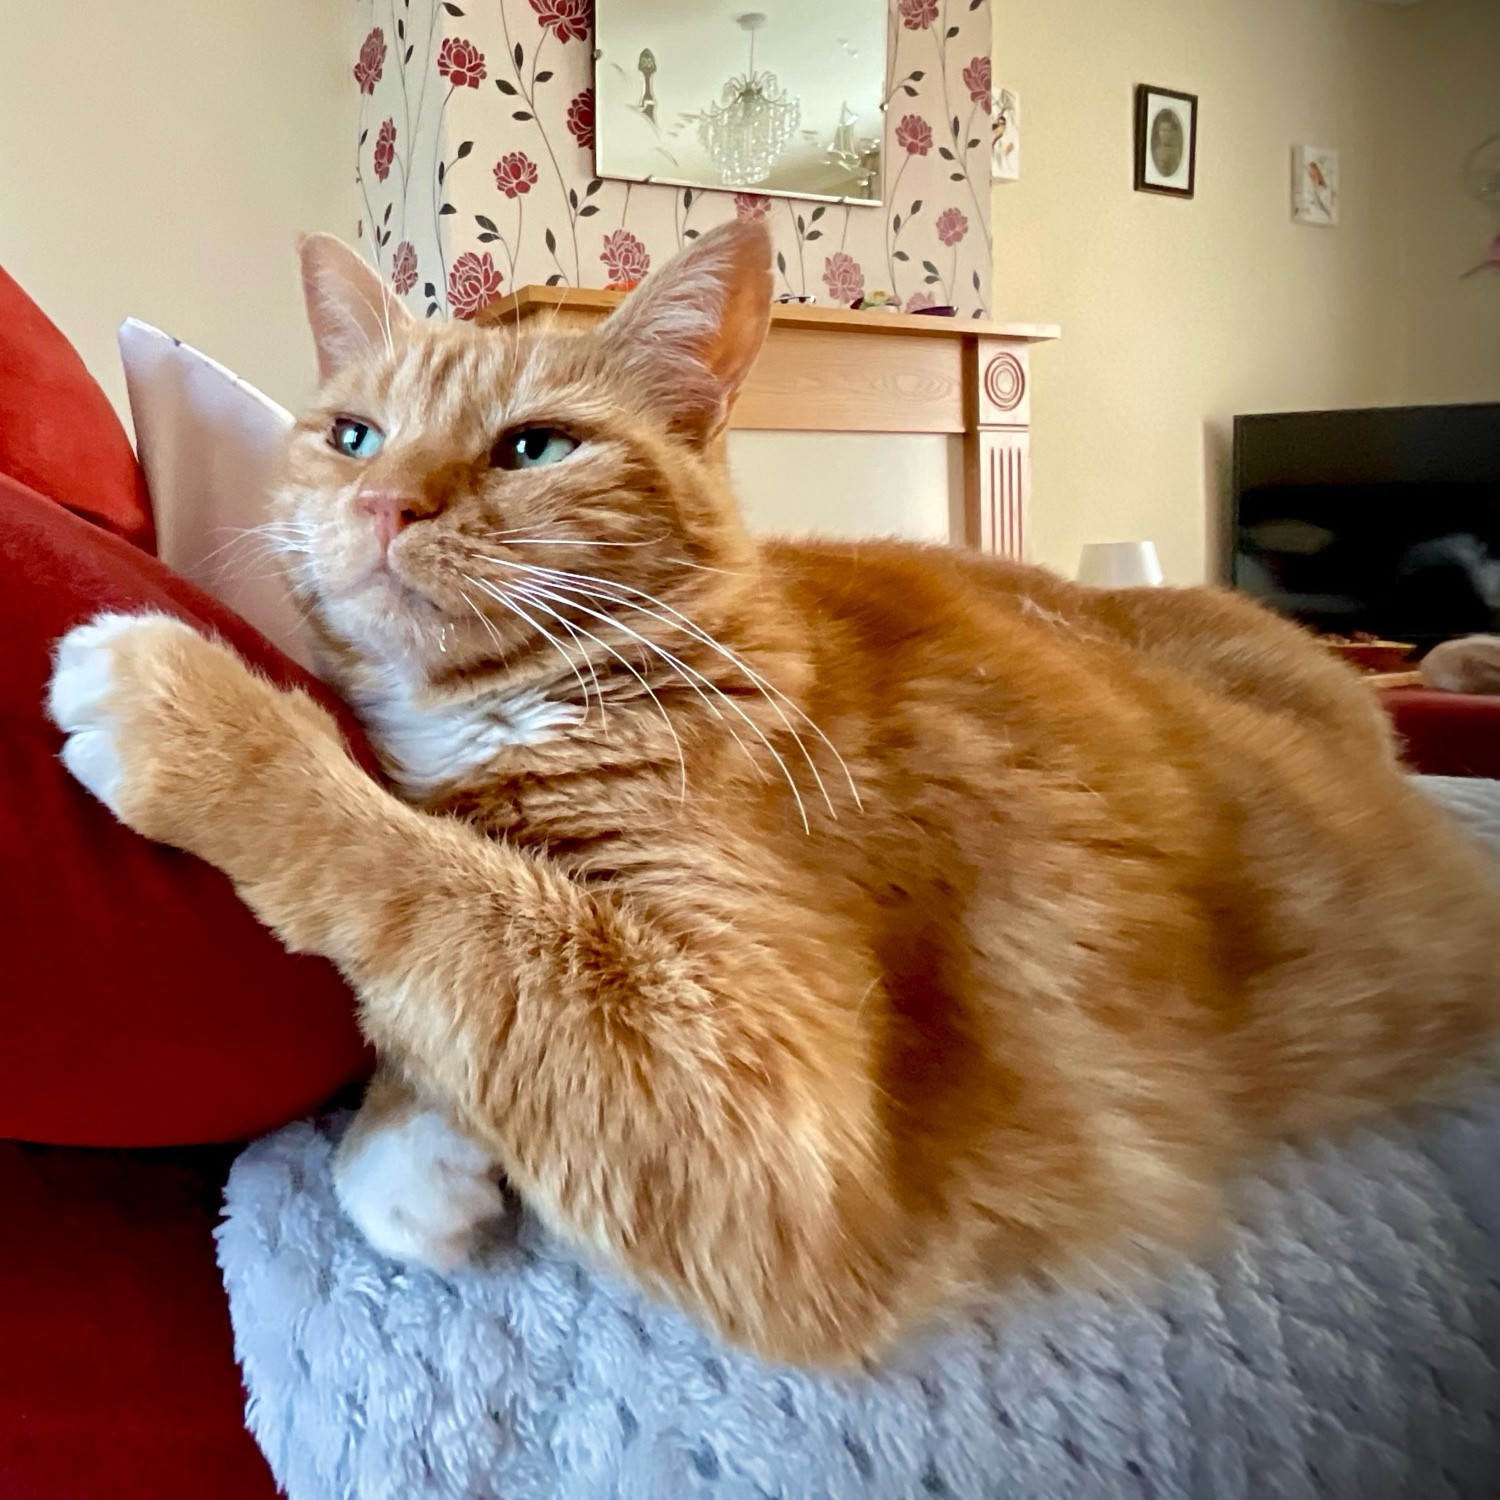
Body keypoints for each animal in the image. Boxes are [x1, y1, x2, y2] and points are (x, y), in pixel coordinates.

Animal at [46, 225, 1500, 1374]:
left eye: (533, 447)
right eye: (352, 436)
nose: (388, 502)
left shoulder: (777, 1138)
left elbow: (454, 900)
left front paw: (196, 714)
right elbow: (469, 933)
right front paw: (416, 1138)